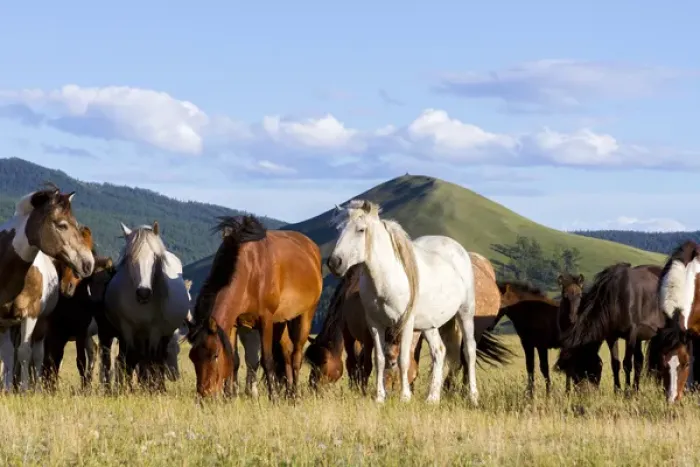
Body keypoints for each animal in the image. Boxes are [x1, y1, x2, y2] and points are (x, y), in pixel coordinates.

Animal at [104, 221, 190, 391]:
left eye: (155, 257)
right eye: (130, 257)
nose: (143, 293)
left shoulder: (155, 330)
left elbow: (152, 360)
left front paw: (151, 388)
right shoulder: (127, 328)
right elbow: (129, 358)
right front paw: (127, 389)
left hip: (164, 334)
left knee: (158, 358)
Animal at [186, 215, 322, 399]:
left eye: (215, 355)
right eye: (192, 357)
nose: (204, 395)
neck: (250, 270)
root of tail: (311, 248)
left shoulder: (265, 320)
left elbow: (267, 360)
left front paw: (274, 398)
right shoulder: (233, 323)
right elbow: (234, 359)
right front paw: (230, 396)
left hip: (305, 315)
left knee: (296, 356)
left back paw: (294, 394)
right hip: (281, 322)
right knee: (287, 354)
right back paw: (288, 393)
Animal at [327, 200, 487, 404]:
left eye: (361, 230)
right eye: (338, 230)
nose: (334, 263)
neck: (387, 279)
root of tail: (458, 249)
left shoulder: (406, 323)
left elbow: (403, 359)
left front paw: (405, 397)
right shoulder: (375, 324)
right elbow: (379, 360)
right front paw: (379, 398)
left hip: (465, 313)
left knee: (469, 350)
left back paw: (472, 397)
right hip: (429, 325)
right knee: (439, 351)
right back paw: (432, 398)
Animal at [556, 263, 665, 392]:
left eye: (583, 368)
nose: (583, 393)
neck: (616, 297)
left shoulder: (631, 334)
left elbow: (627, 364)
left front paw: (627, 392)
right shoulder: (611, 337)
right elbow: (615, 363)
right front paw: (617, 390)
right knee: (641, 361)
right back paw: (638, 389)